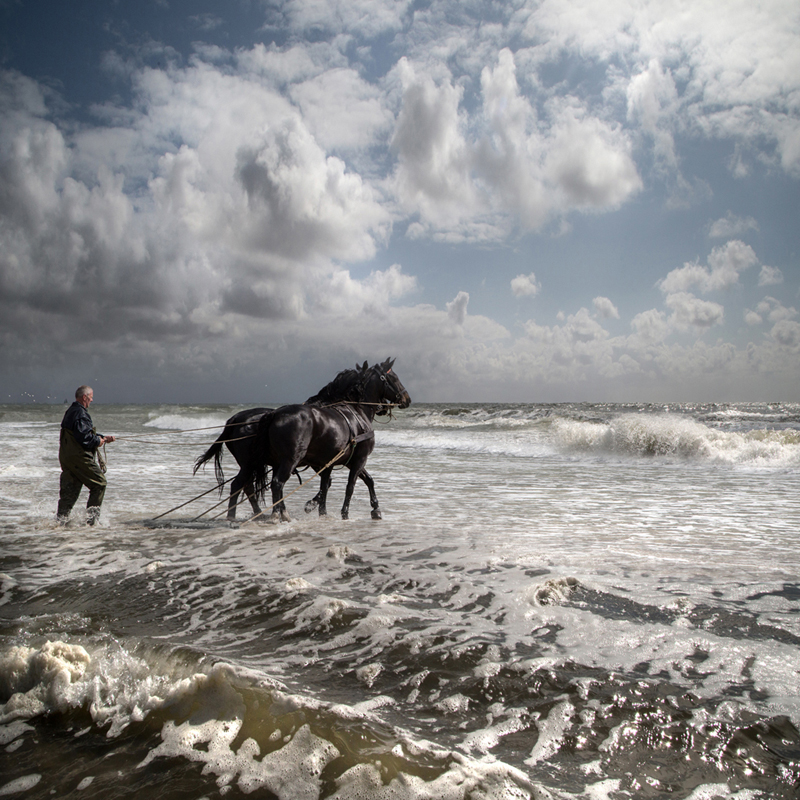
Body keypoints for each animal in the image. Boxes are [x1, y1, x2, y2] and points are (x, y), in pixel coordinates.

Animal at [252, 358, 412, 520]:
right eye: (394, 378)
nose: (407, 399)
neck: (358, 411)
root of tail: (276, 414)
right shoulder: (360, 459)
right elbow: (350, 486)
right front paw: (344, 513)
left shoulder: (338, 461)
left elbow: (360, 481)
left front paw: (375, 508)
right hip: (291, 460)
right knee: (278, 483)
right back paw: (278, 514)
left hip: (278, 461)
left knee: (275, 485)